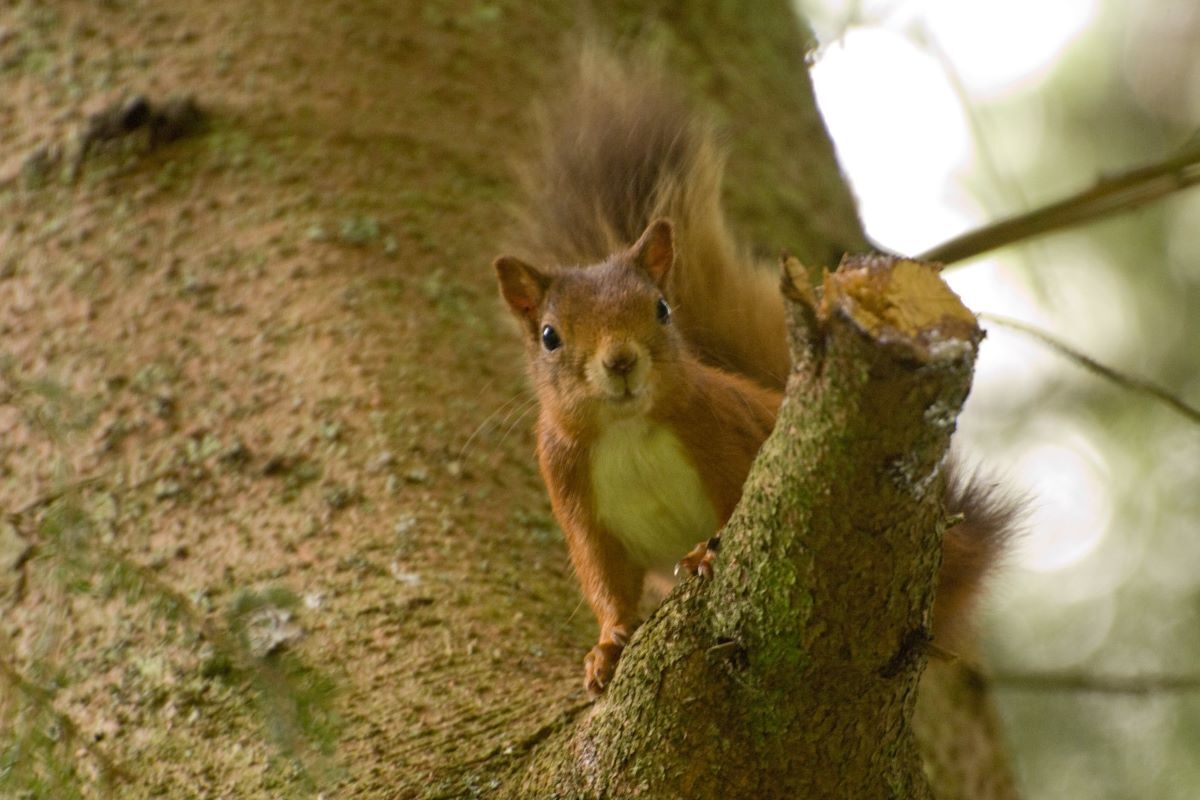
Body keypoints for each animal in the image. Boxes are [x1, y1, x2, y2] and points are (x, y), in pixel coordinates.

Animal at [489, 53, 1012, 695]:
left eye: (662, 309)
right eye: (549, 336)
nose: (620, 361)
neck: (627, 431)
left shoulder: (726, 437)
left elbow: (734, 514)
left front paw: (706, 557)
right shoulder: (573, 495)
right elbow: (607, 583)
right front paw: (607, 646)